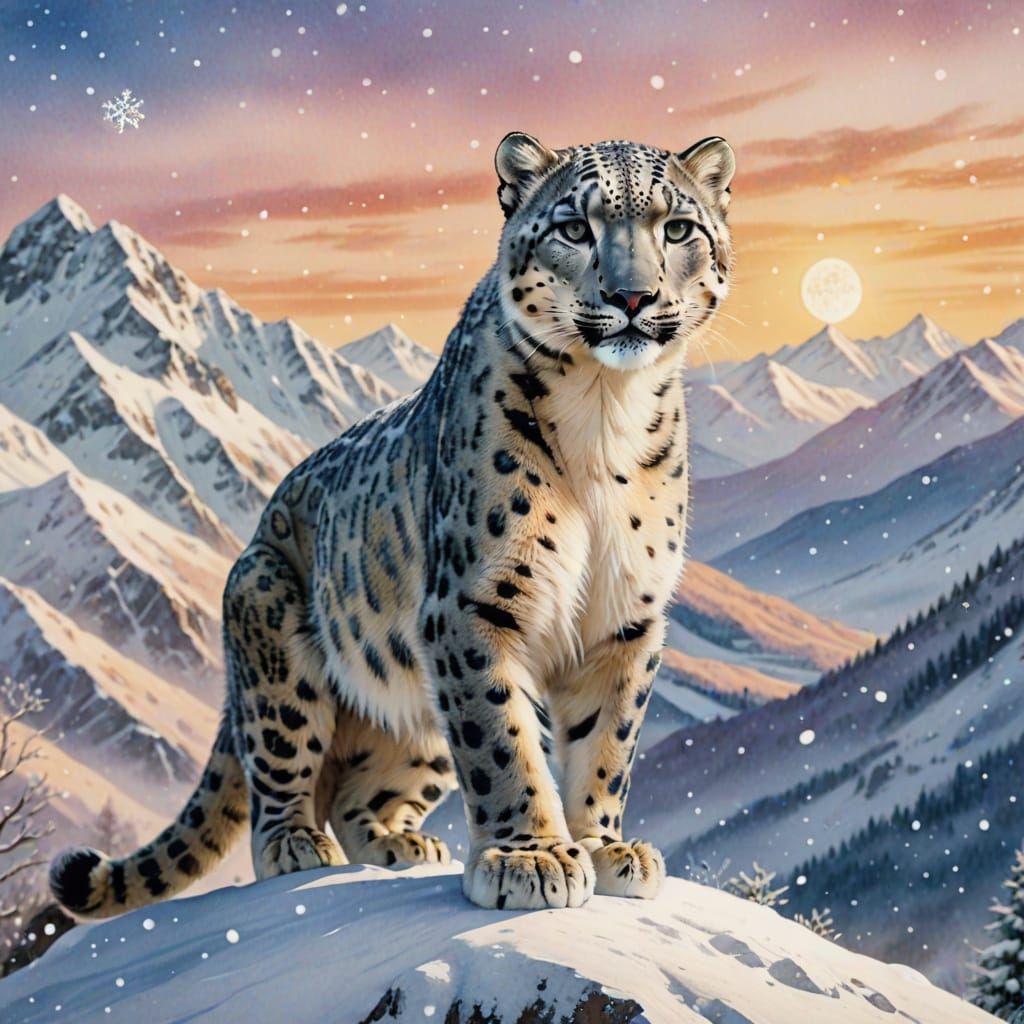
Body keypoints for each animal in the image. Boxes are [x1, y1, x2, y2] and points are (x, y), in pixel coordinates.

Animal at [50, 131, 735, 917]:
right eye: (573, 227)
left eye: (677, 229)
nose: (632, 295)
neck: (604, 407)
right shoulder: (474, 603)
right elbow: (501, 739)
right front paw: (530, 858)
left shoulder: (626, 616)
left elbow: (607, 743)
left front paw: (602, 846)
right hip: (275, 631)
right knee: (279, 775)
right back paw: (296, 846)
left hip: (413, 704)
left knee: (357, 791)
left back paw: (397, 843)